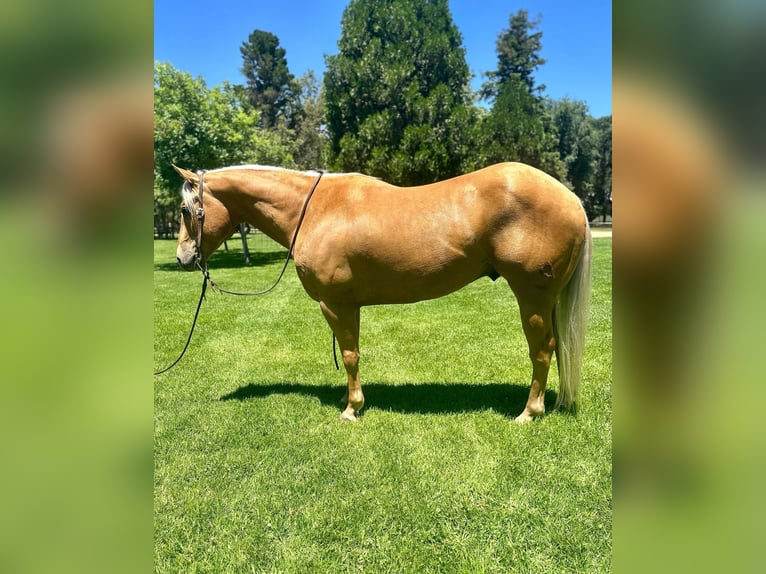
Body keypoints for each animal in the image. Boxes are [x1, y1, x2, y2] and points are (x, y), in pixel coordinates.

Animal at [172, 162, 592, 424]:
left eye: (185, 209)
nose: (182, 257)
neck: (314, 210)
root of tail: (572, 199)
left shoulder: (337, 303)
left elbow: (350, 355)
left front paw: (352, 408)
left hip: (532, 297)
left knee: (542, 350)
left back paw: (529, 412)